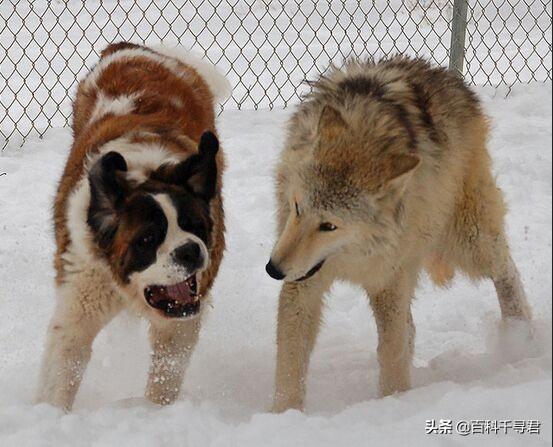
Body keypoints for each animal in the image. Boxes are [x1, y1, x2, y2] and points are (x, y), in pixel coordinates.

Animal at [36, 43, 231, 412]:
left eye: (195, 226)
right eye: (148, 239)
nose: (190, 251)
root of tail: (131, 49)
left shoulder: (179, 322)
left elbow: (165, 374)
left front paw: (154, 413)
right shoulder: (80, 298)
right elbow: (65, 366)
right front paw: (50, 415)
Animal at [266, 57, 532, 414]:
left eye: (329, 226)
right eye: (297, 208)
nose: (273, 269)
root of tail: (447, 77)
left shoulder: (387, 280)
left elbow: (391, 351)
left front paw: (393, 403)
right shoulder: (304, 282)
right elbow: (290, 360)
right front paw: (284, 415)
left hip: (467, 241)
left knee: (508, 271)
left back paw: (521, 337)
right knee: (412, 327)